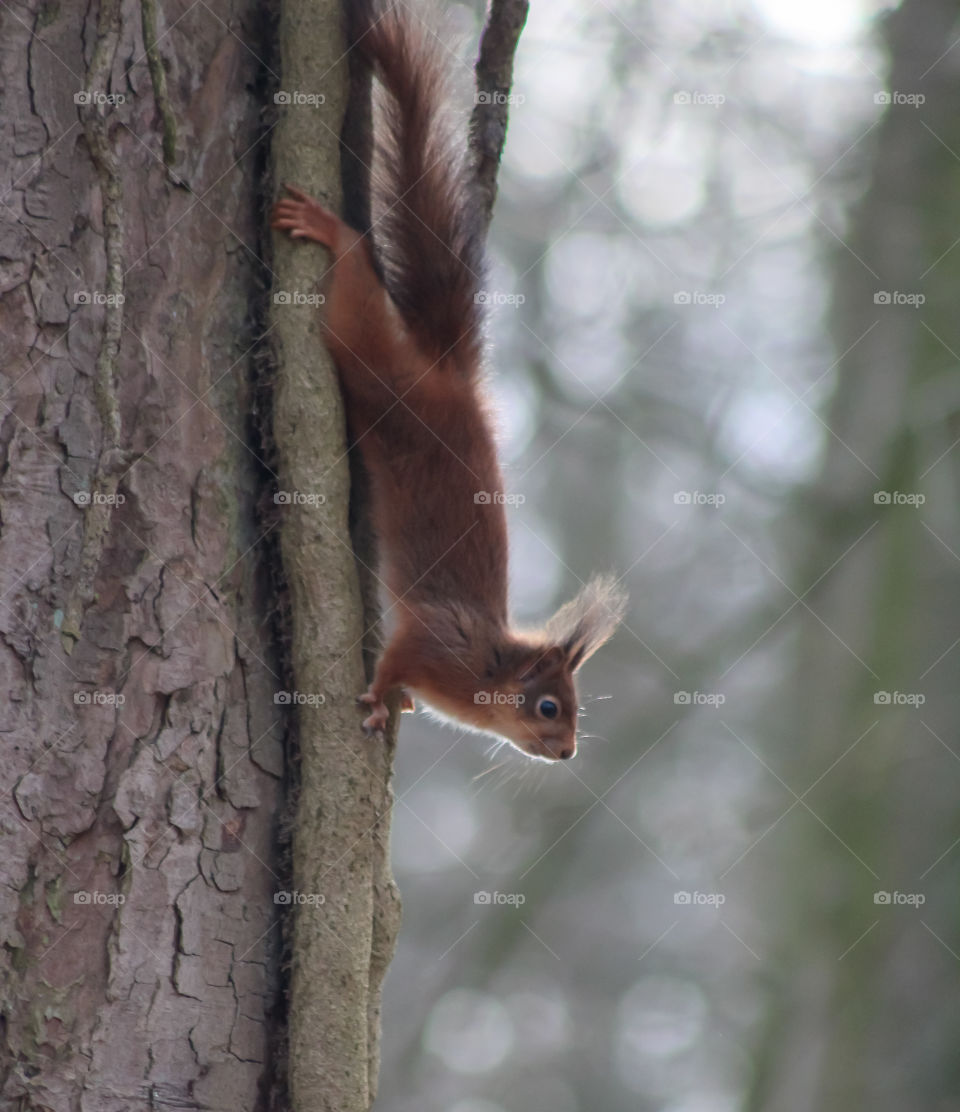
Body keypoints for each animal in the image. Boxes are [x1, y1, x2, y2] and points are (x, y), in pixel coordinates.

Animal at [273, 0, 627, 760]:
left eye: (578, 711)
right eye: (549, 706)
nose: (567, 752)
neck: (484, 666)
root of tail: (447, 374)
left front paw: (401, 703)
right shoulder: (431, 639)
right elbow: (392, 658)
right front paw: (380, 700)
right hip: (373, 362)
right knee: (355, 289)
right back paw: (330, 230)